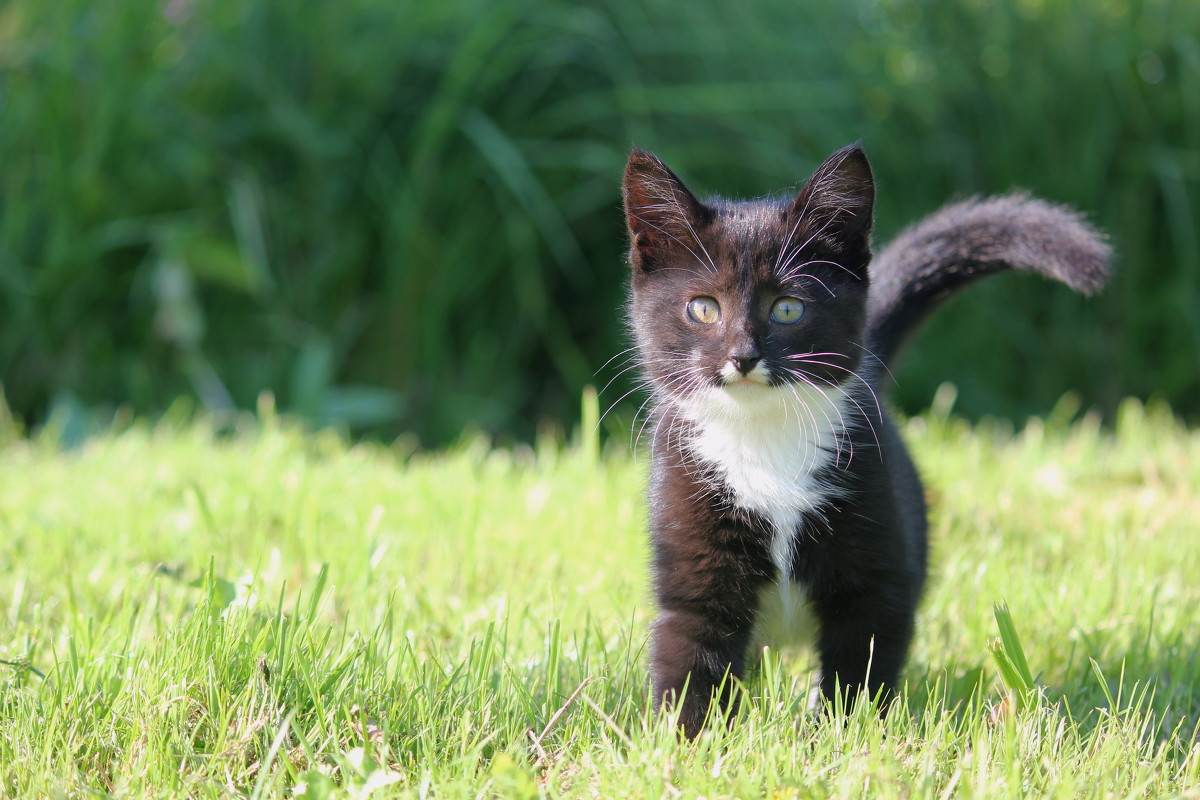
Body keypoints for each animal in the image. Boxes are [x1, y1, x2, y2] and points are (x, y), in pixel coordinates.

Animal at [624, 143, 1108, 738]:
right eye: (703, 307)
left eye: (787, 308)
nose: (743, 355)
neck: (765, 437)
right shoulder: (690, 533)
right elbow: (692, 655)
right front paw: (687, 745)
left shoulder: (876, 556)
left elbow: (863, 658)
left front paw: (845, 736)